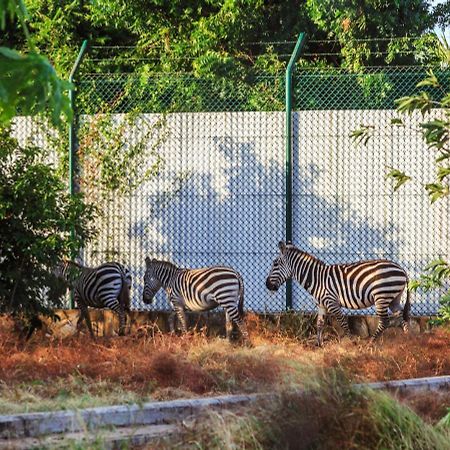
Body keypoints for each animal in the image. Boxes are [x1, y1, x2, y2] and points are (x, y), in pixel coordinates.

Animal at [266, 243, 410, 344]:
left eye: (275, 264)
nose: (267, 284)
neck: (316, 278)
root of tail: (401, 269)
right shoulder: (321, 305)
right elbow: (319, 324)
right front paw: (319, 345)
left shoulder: (332, 303)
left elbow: (343, 324)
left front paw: (352, 342)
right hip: (394, 298)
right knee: (401, 316)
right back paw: (407, 341)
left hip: (382, 297)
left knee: (385, 321)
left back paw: (371, 343)